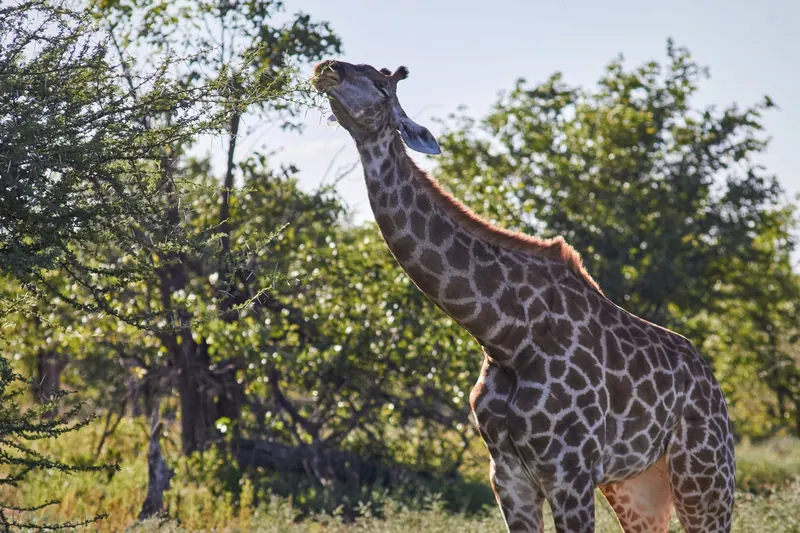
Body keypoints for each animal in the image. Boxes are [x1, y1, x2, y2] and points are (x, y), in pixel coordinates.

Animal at [312, 60, 736, 533]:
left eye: (380, 86)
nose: (327, 68)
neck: (504, 335)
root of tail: (714, 384)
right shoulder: (507, 474)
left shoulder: (569, 472)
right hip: (638, 485)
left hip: (704, 475)